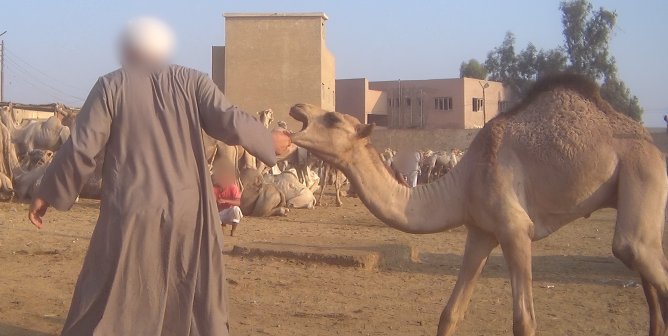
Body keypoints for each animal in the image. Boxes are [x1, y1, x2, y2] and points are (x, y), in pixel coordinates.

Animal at [290, 74, 668, 336]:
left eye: (334, 118)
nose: (298, 108)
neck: (464, 181)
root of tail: (646, 137)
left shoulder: (516, 230)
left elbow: (524, 322)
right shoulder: (480, 232)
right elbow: (449, 314)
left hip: (643, 168)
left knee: (633, 250)